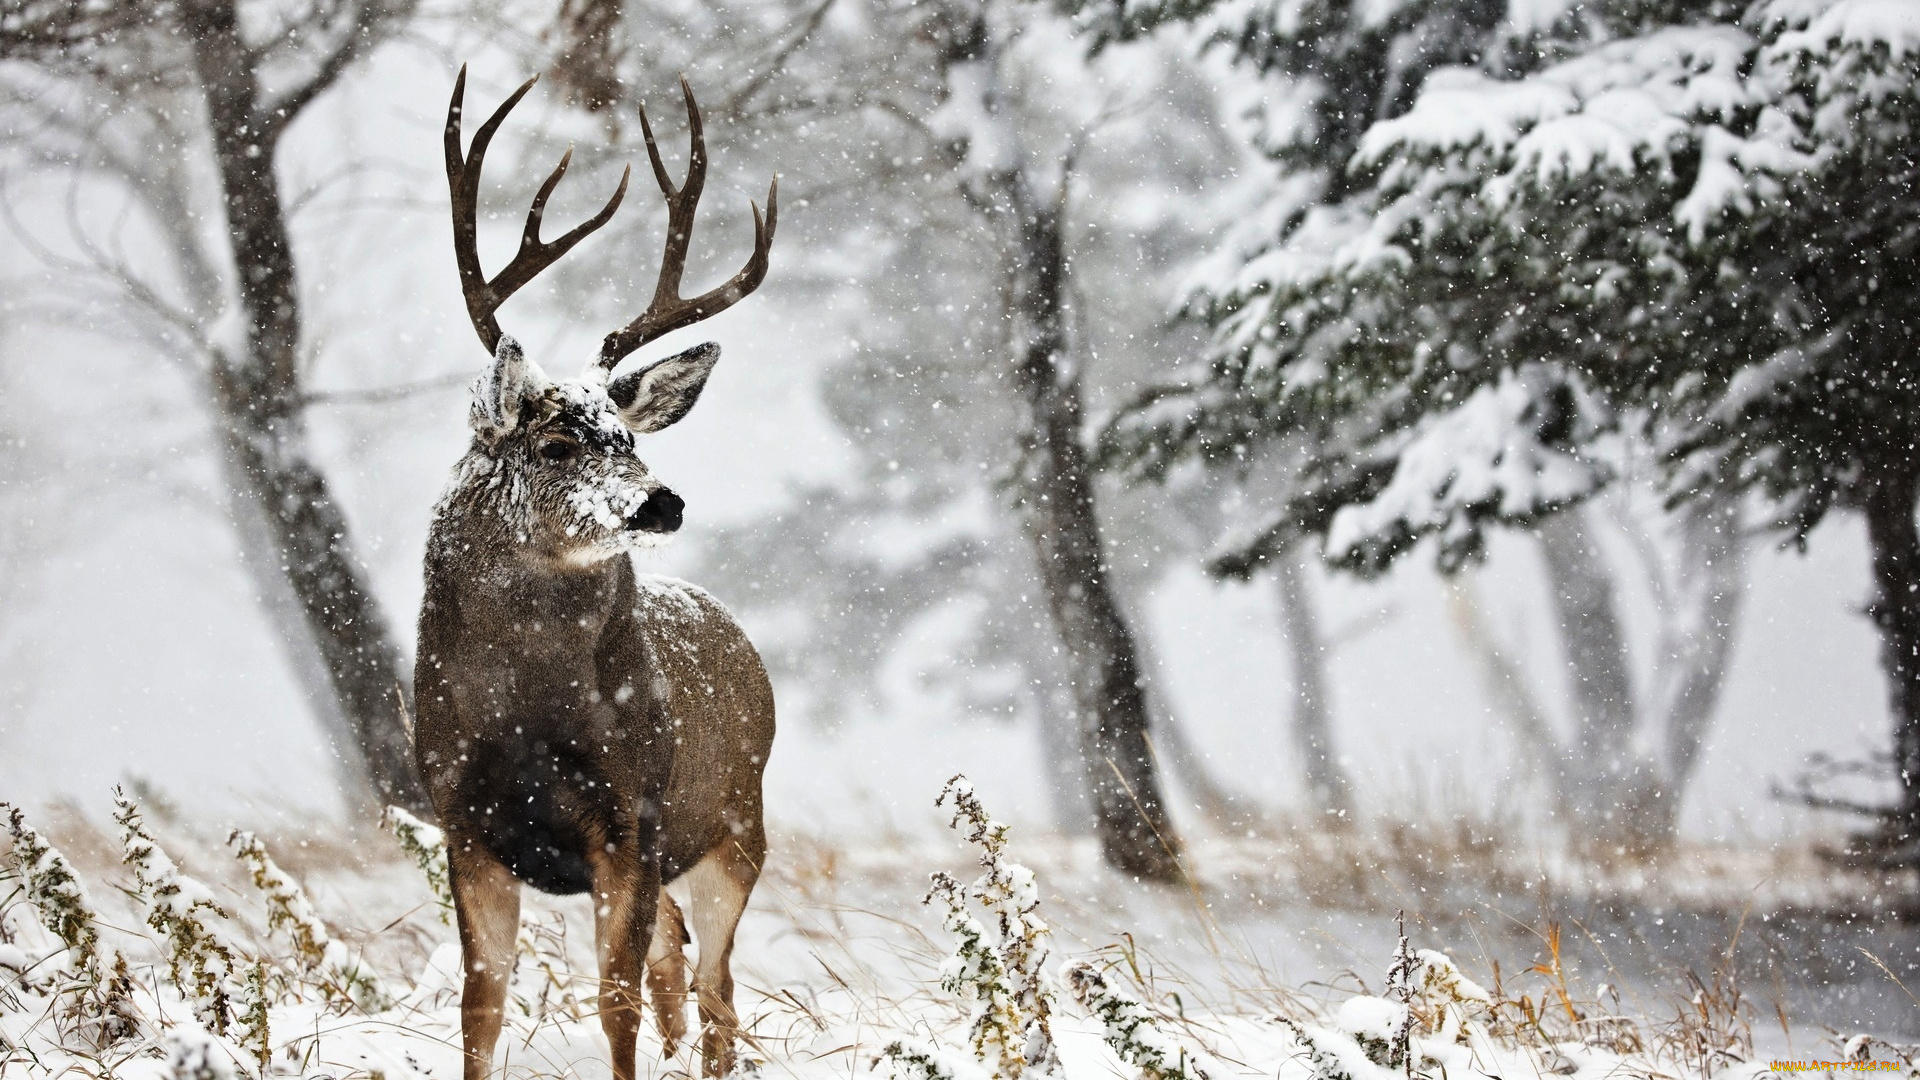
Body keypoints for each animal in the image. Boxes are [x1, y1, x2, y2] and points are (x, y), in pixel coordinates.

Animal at [414, 67, 779, 1076]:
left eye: (627, 437)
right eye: (554, 441)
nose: (661, 503)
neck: (529, 717)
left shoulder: (633, 820)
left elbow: (612, 1004)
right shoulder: (462, 822)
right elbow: (480, 1006)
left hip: (735, 829)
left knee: (716, 989)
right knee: (676, 974)